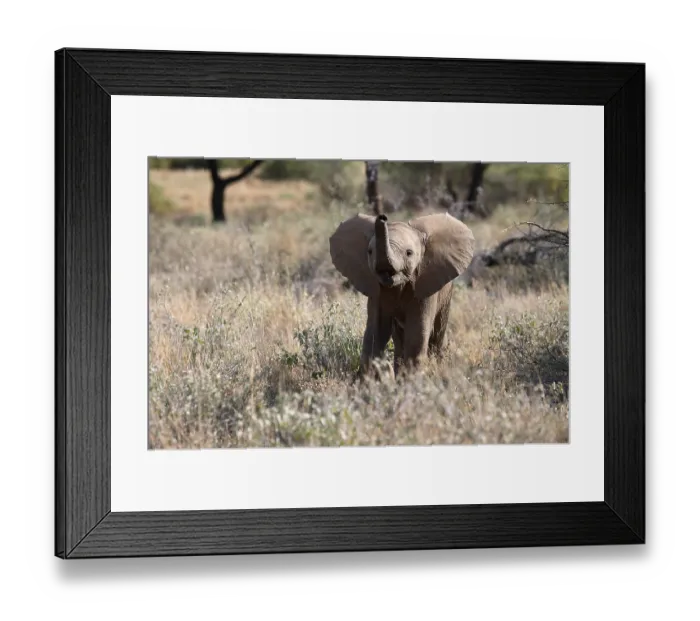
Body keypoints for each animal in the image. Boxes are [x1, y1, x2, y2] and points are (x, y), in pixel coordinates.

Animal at [329, 211, 475, 377]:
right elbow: (376, 332)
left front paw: (412, 381)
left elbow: (416, 334)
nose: (382, 217)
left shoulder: (424, 288)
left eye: (409, 253)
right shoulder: (377, 290)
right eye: (370, 252)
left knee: (436, 335)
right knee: (399, 340)